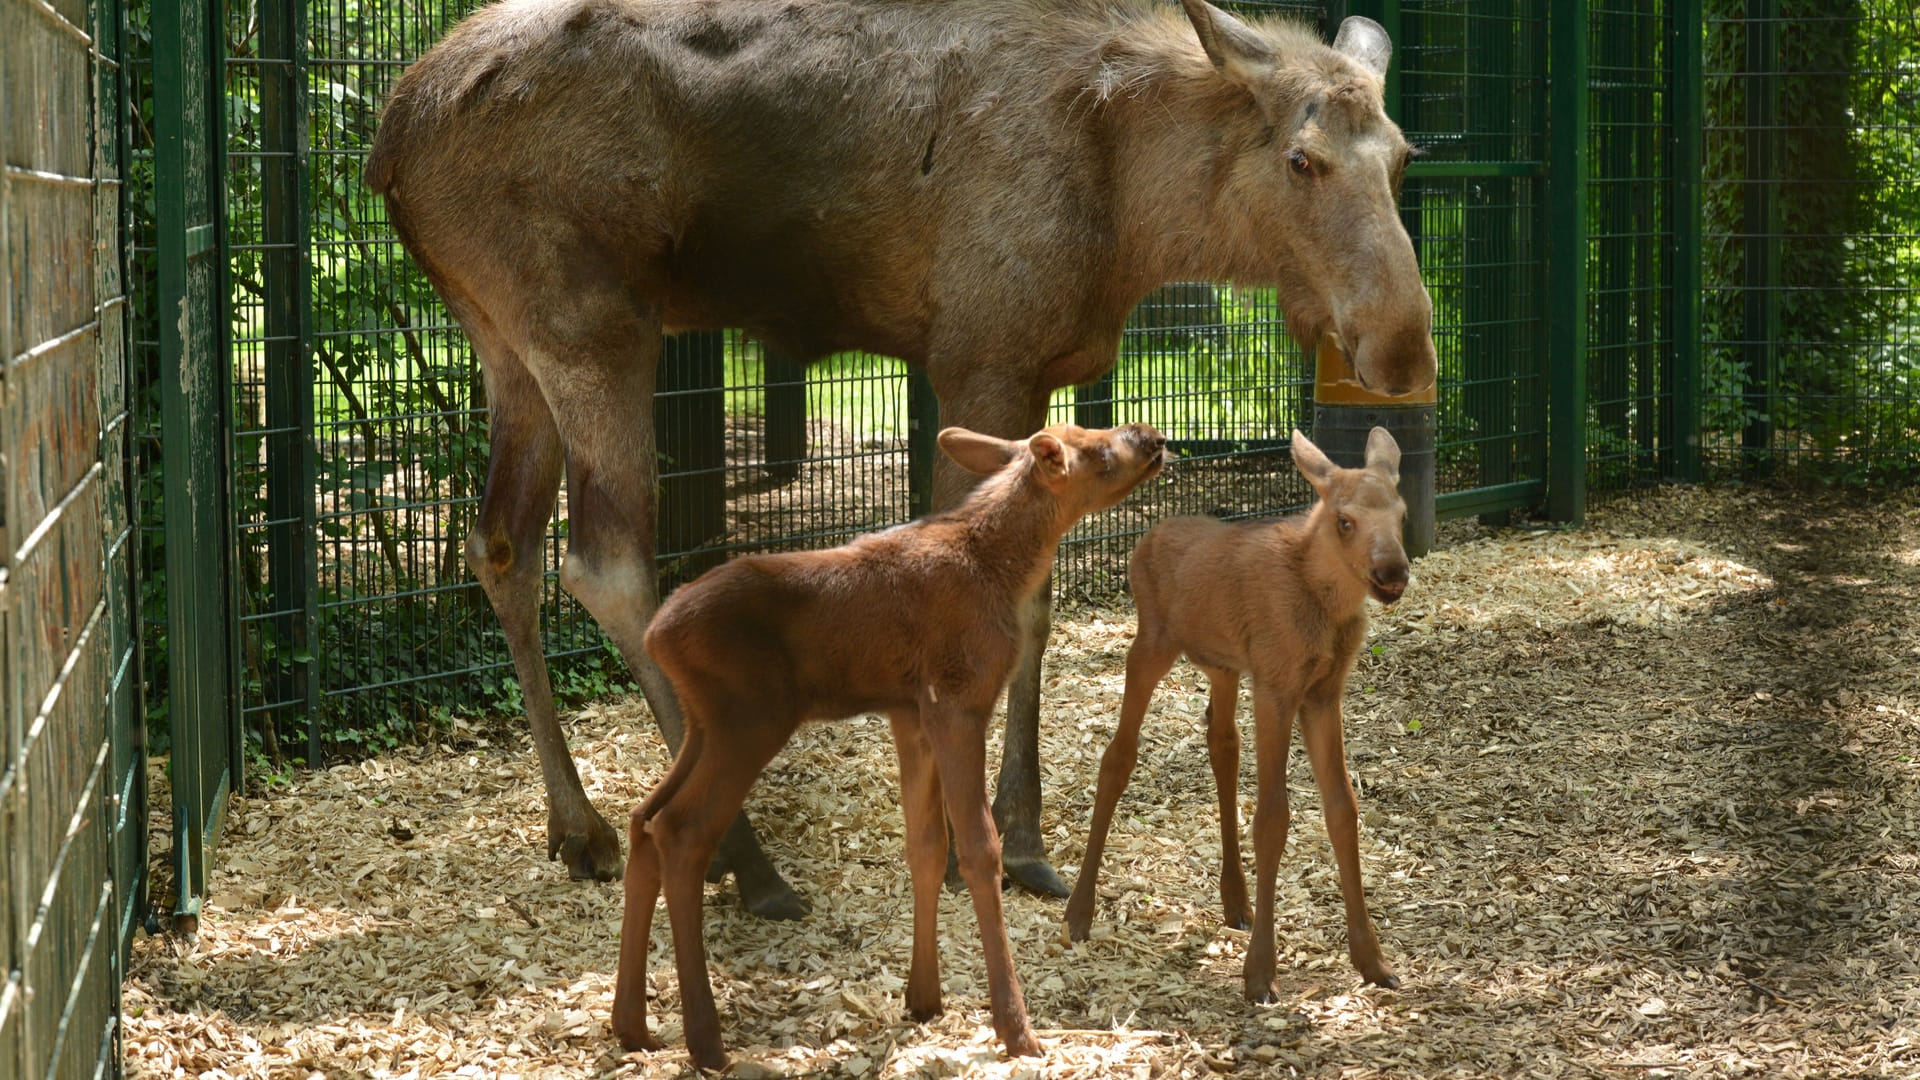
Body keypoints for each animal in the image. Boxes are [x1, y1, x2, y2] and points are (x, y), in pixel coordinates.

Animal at [366, 0, 1436, 910]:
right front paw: (977, 846)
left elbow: (1031, 597)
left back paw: (579, 827)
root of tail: (391, 139)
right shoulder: (979, 357)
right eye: (1302, 159)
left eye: (1403, 156)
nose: (1404, 350)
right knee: (606, 563)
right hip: (595, 322)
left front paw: (1021, 838)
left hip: (503, 338)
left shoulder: (1029, 369)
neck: (1136, 213)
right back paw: (742, 858)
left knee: (500, 545)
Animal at [1067, 424, 1413, 999]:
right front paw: (1259, 974)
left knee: (1221, 745)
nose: (1392, 572)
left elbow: (1343, 809)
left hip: (1223, 666)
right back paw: (1079, 911)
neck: (1325, 611)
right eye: (1344, 521)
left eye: (1403, 514)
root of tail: (1142, 543)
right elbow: (1273, 817)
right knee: (1118, 754)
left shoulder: (1323, 693)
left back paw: (1236, 898)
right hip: (1151, 643)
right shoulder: (1275, 683)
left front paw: (1374, 961)